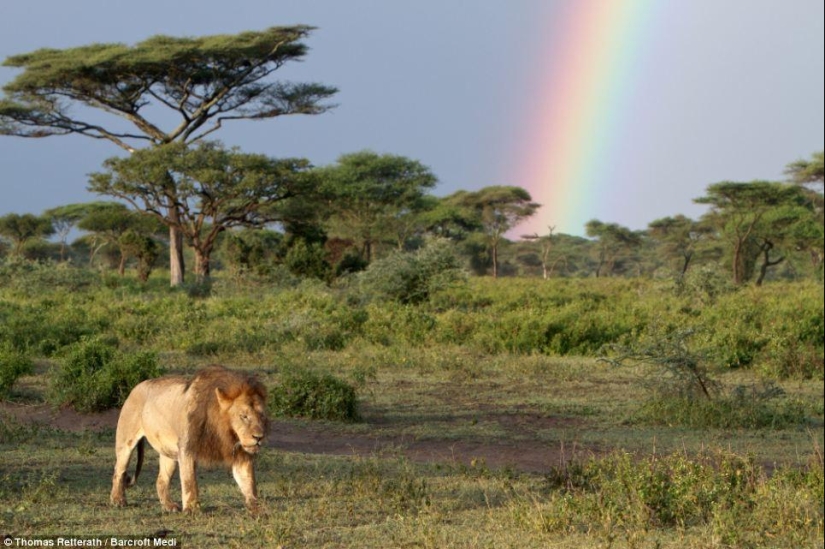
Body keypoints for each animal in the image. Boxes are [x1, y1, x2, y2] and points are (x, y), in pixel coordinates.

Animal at [110, 365, 269, 512]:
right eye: (244, 416)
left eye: (261, 416)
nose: (259, 437)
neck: (223, 431)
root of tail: (137, 386)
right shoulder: (187, 448)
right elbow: (189, 481)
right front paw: (192, 509)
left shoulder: (241, 453)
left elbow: (248, 481)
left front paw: (257, 507)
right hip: (126, 442)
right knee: (119, 470)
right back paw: (118, 500)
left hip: (169, 453)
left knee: (161, 480)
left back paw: (169, 506)